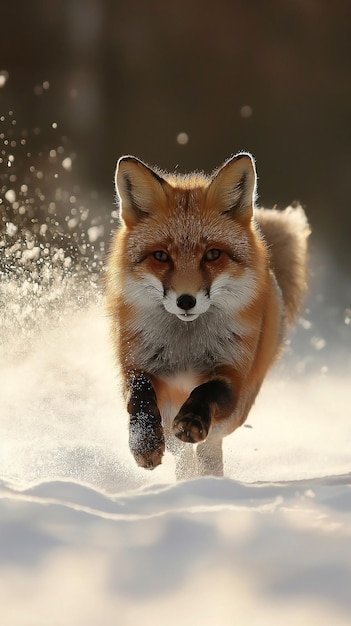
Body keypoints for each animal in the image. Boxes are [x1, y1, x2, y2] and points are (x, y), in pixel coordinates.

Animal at [106, 154, 310, 476]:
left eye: (213, 255)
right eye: (160, 256)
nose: (186, 301)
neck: (185, 348)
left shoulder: (232, 373)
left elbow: (207, 392)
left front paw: (192, 421)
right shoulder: (135, 366)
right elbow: (139, 399)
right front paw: (145, 443)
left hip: (240, 408)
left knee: (209, 444)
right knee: (181, 449)